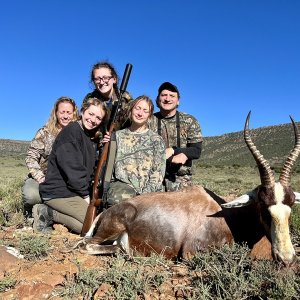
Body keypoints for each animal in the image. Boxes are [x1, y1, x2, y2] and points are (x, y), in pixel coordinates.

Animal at [82, 113, 300, 266]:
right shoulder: (190, 253)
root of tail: (104, 214)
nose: (287, 259)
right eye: (263, 206)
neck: (226, 214)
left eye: (290, 206)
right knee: (87, 245)